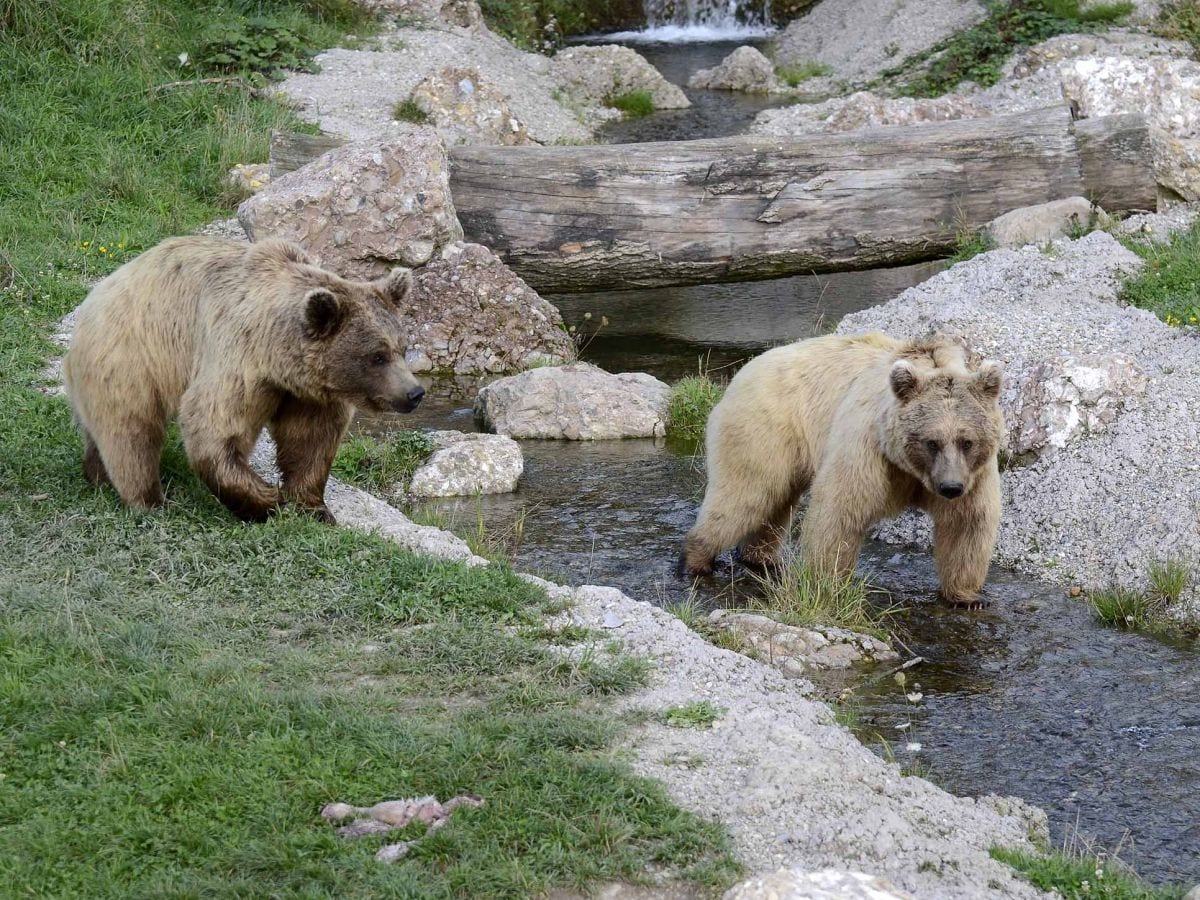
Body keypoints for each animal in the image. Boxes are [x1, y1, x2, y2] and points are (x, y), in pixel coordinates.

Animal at [64, 236, 427, 525]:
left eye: (402, 348)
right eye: (377, 356)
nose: (414, 392)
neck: (278, 357)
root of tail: (93, 296)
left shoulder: (308, 392)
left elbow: (310, 439)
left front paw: (313, 507)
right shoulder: (237, 359)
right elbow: (215, 430)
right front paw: (268, 501)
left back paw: (96, 474)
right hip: (130, 357)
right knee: (130, 432)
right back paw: (149, 499)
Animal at [686, 336, 1003, 609]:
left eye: (966, 441)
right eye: (932, 442)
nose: (950, 487)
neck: (909, 468)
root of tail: (746, 368)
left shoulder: (974, 474)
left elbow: (967, 523)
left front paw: (967, 596)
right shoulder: (867, 447)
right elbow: (840, 512)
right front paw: (826, 583)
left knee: (772, 506)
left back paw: (760, 558)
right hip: (764, 429)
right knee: (745, 496)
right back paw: (697, 560)